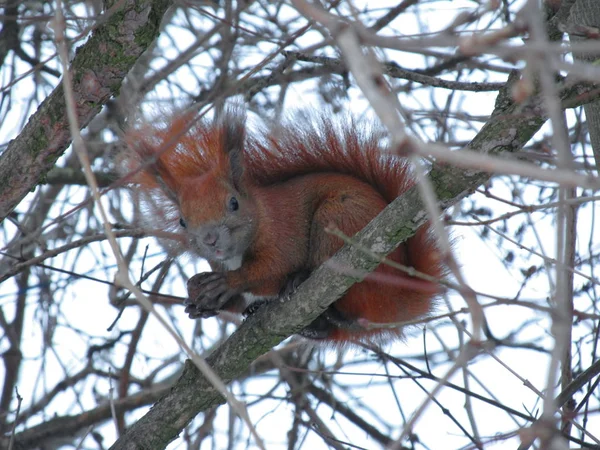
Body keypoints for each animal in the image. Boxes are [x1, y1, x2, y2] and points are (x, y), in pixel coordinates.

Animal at [122, 107, 442, 342]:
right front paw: (201, 300)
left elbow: (272, 268)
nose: (210, 239)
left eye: (234, 203)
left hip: (339, 220)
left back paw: (299, 279)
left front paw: (229, 282)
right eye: (182, 220)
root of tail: (401, 299)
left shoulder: (282, 233)